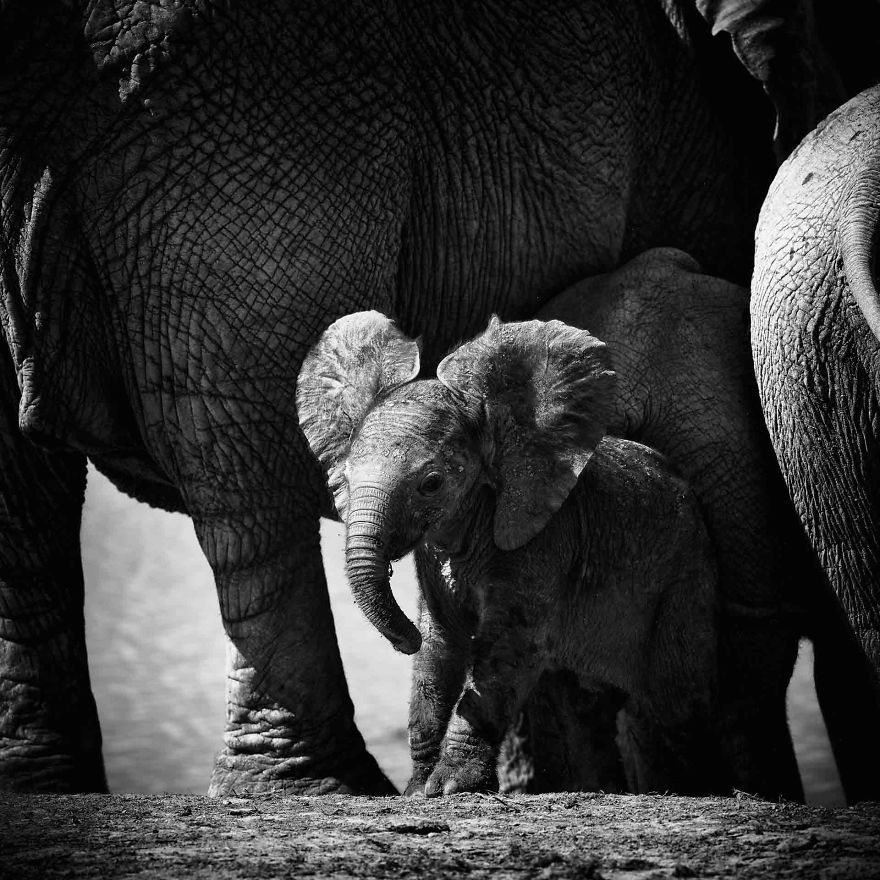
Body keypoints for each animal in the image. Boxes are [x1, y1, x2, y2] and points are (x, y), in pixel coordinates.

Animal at [300, 312, 720, 796]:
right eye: (346, 478)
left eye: (431, 483)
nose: (404, 640)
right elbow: (441, 647)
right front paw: (416, 791)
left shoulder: (544, 541)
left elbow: (505, 647)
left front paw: (451, 788)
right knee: (585, 708)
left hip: (684, 580)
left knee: (676, 705)